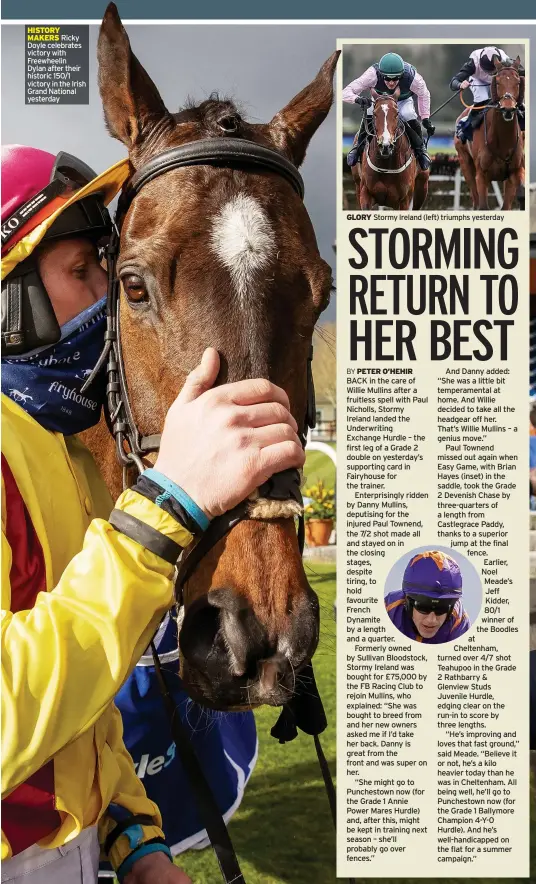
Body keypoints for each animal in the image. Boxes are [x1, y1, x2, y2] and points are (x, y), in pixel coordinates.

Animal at [454, 57, 524, 212]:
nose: (508, 109)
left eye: (517, 82)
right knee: (475, 201)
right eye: (497, 82)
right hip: (465, 164)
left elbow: (509, 205)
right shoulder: (482, 175)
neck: (503, 142)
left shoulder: (514, 173)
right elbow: (482, 206)